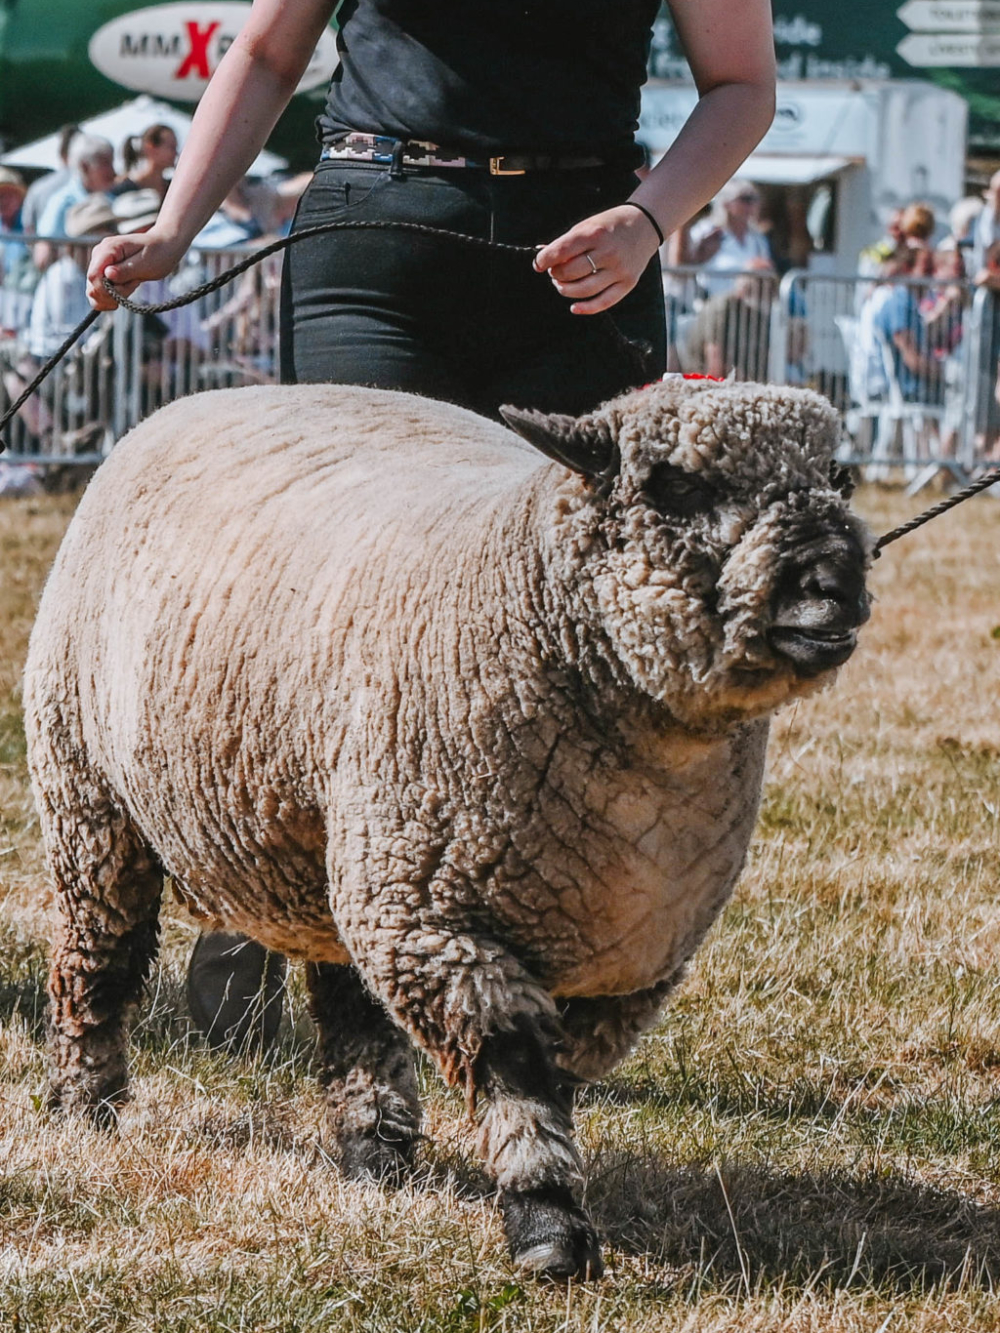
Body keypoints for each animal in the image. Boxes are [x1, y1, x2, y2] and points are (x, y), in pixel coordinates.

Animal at [21, 378, 869, 1279]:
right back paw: (85, 1106)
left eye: (838, 476)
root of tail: (194, 397)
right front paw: (547, 1224)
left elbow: (553, 1069)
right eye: (677, 486)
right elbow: (516, 1070)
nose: (834, 580)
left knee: (350, 1004)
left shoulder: (628, 955)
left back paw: (375, 1150)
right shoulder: (436, 922)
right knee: (97, 967)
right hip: (93, 806)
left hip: (342, 844)